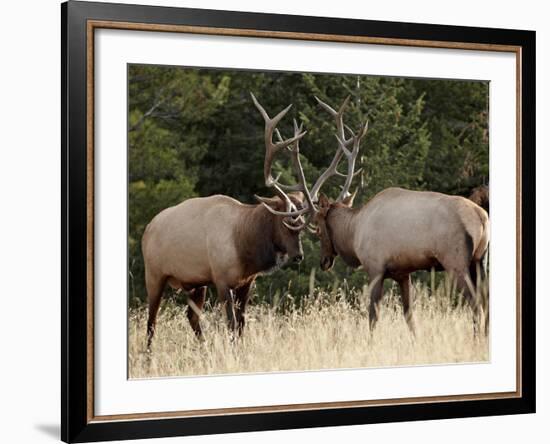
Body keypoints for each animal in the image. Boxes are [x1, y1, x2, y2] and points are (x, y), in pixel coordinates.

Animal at [274, 95, 494, 334]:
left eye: (318, 228)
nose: (324, 261)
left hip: (456, 262)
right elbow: (409, 315)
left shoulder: (375, 268)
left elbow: (373, 316)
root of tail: (481, 218)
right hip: (480, 260)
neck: (353, 232)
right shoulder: (403, 272)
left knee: (475, 304)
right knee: (486, 302)